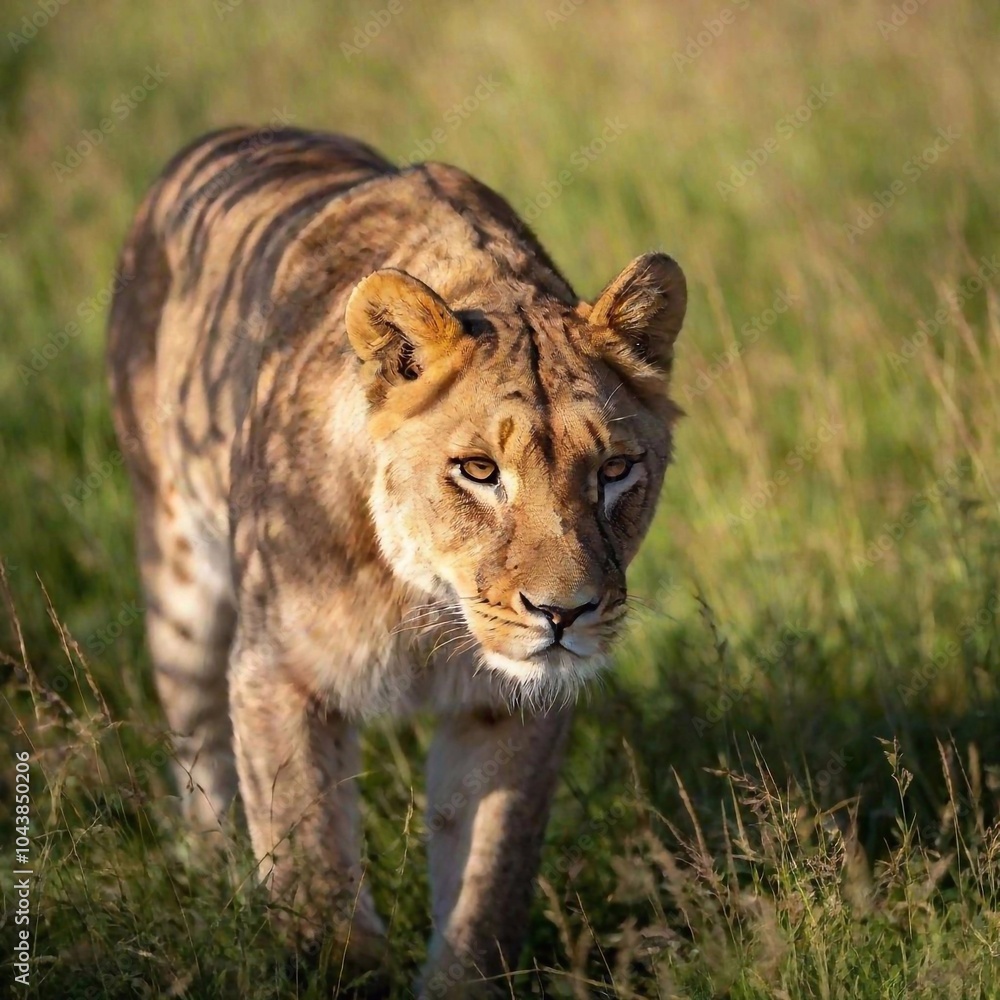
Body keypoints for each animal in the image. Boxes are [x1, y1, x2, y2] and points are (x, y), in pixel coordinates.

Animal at [107, 125, 687, 996]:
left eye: (614, 469)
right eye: (479, 470)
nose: (565, 614)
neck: (422, 603)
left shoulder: (508, 710)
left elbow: (486, 890)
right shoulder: (278, 674)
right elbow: (314, 879)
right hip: (178, 576)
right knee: (197, 747)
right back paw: (207, 876)